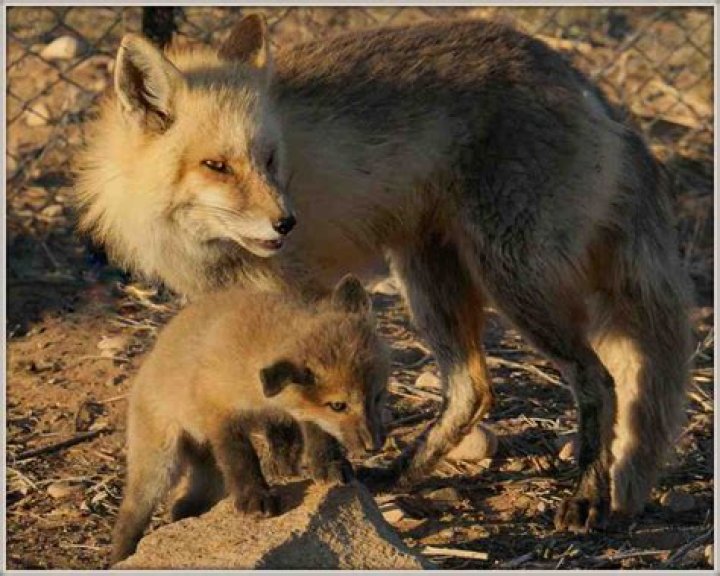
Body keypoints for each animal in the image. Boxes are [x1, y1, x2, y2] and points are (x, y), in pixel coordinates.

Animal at [75, 15, 694, 533]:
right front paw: (282, 466)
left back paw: (586, 496)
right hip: (428, 279)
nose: (286, 223)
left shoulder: (301, 295)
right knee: (474, 390)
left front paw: (319, 468)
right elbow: (265, 407)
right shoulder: (232, 305)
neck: (212, 250)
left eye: (271, 159)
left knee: (598, 380)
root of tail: (580, 81)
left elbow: (302, 409)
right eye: (216, 166)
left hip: (510, 277)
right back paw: (397, 475)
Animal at [110, 274, 390, 564]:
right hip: (159, 467)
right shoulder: (220, 412)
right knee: (131, 514)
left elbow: (316, 433)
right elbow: (242, 458)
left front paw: (327, 464)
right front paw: (256, 497)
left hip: (210, 477)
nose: (374, 445)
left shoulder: (291, 411)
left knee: (184, 504)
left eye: (378, 396)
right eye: (338, 405)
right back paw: (121, 555)